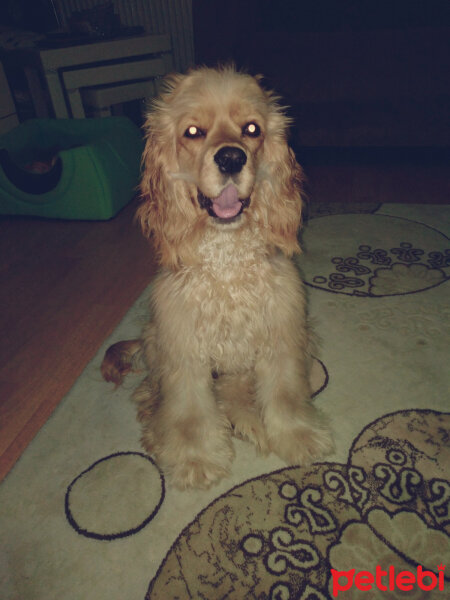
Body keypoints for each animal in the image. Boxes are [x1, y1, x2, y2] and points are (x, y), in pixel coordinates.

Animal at [102, 64, 334, 488]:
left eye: (252, 129)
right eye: (193, 132)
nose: (230, 157)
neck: (227, 263)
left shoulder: (281, 332)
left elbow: (285, 394)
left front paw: (298, 437)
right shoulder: (183, 348)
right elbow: (190, 413)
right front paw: (196, 459)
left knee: (235, 387)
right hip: (156, 340)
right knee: (152, 393)